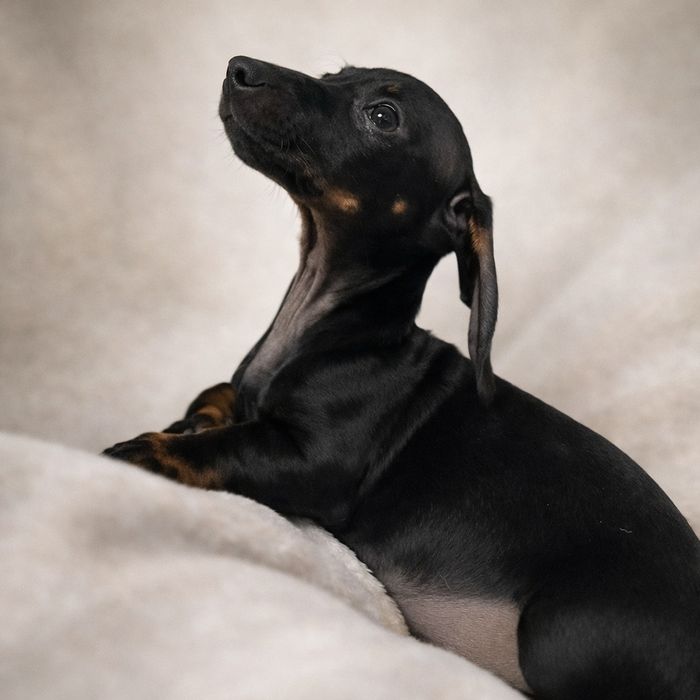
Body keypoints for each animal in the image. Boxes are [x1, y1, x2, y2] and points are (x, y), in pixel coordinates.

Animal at [104, 57, 700, 698]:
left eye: (384, 117)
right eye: (333, 74)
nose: (240, 68)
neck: (334, 325)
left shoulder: (314, 464)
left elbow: (228, 446)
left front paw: (149, 450)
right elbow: (219, 394)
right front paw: (193, 418)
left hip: (559, 626)